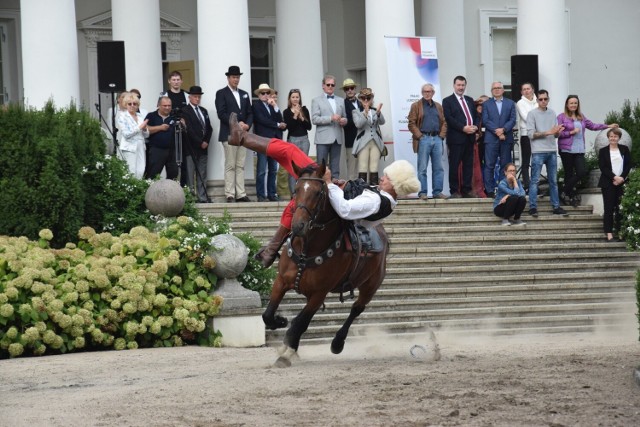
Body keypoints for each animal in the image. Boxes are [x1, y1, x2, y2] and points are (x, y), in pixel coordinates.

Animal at [262, 160, 390, 368]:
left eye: (318, 193)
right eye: (296, 190)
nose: (298, 226)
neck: (308, 250)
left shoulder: (319, 293)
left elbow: (300, 323)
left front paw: (287, 352)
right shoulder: (281, 281)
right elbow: (268, 314)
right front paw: (280, 321)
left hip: (371, 285)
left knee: (356, 309)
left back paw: (338, 343)